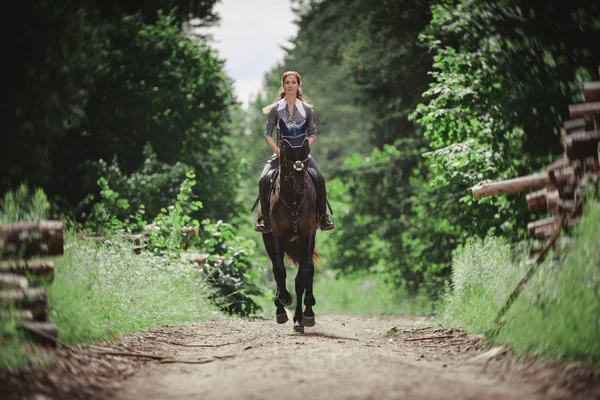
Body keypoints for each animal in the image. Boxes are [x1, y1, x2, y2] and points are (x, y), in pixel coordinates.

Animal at [260, 117, 322, 332]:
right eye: (285, 147)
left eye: (306, 146)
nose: (300, 184)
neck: (294, 199)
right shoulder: (276, 235)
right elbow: (279, 269)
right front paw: (284, 301)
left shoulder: (308, 233)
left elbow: (304, 274)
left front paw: (303, 317)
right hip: (269, 239)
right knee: (277, 268)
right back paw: (281, 304)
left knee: (307, 271)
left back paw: (305, 313)